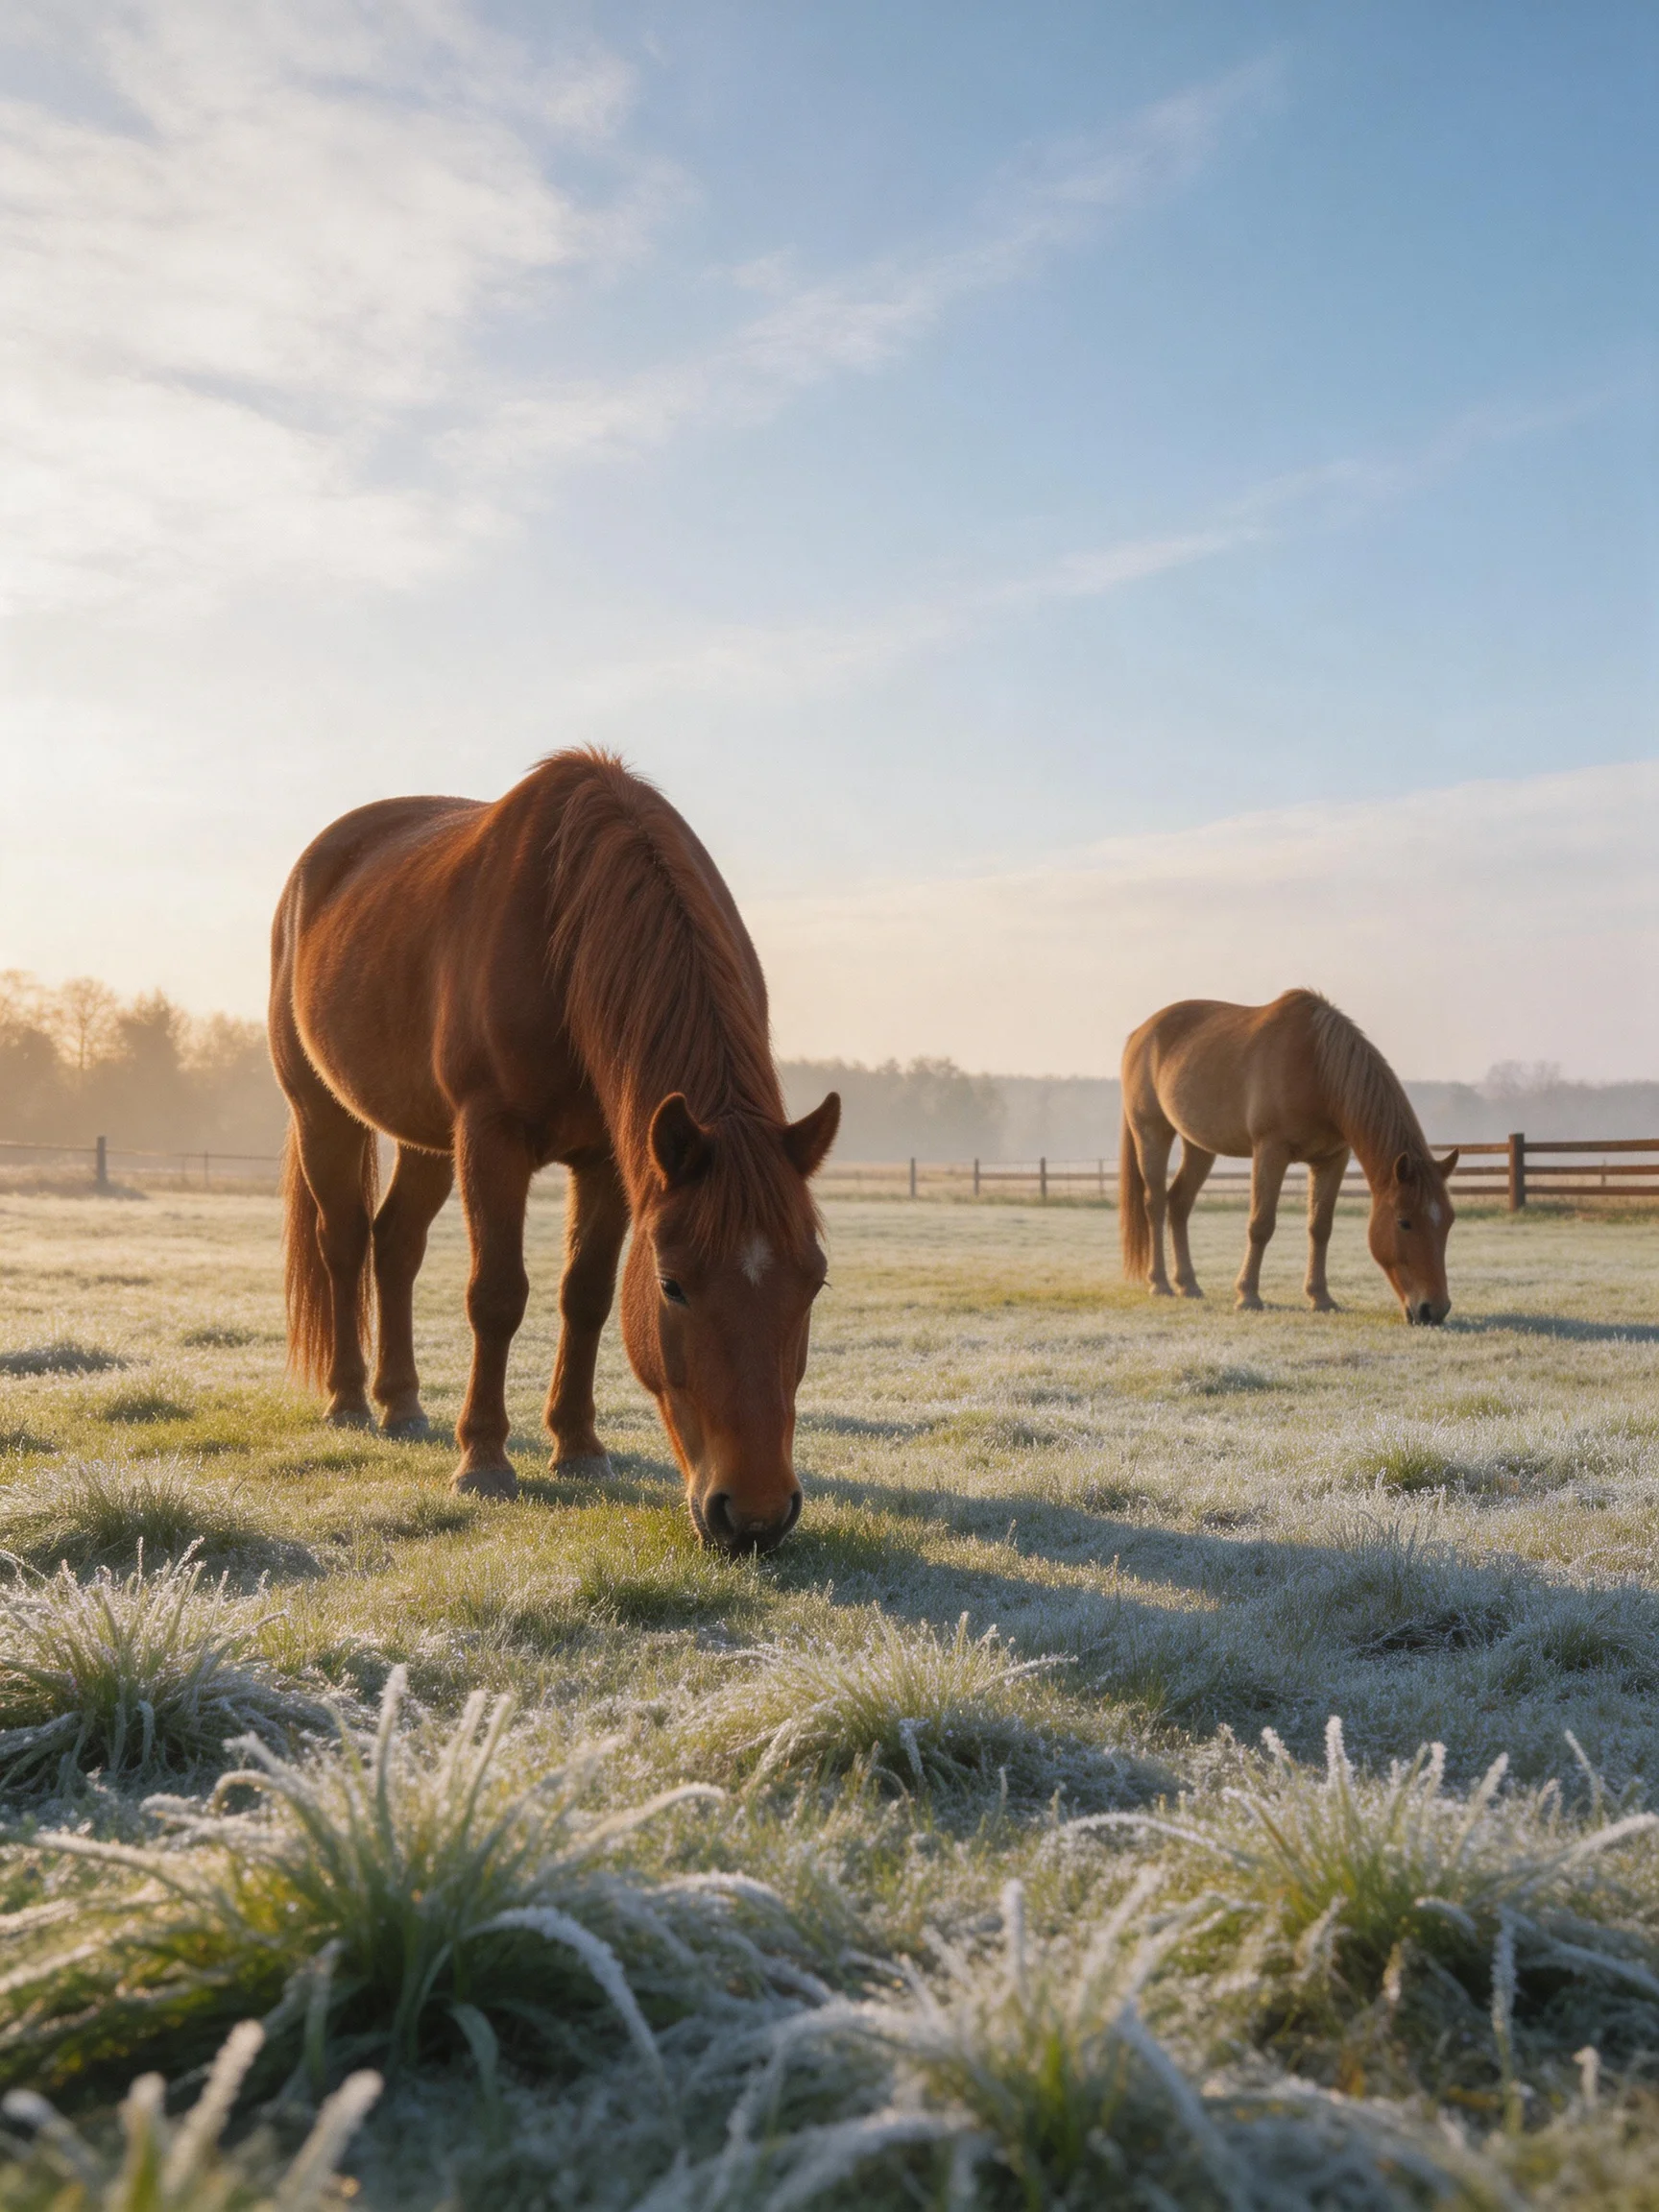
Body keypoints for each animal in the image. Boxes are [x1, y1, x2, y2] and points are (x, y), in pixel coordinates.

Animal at [268, 749, 840, 1553]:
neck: (565, 936)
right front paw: (483, 1458)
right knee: (345, 1242)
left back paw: (402, 1403)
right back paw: (349, 1400)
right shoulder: (492, 1137)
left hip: (427, 1140)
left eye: (814, 1282)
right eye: (672, 1286)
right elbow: (497, 1294)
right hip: (324, 1113)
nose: (755, 1516)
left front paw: (577, 1447)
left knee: (397, 1244)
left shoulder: (610, 1159)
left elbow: (587, 1295)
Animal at [1119, 990, 1457, 1324]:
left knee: (1179, 1203)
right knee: (1155, 1203)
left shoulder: (1332, 1160)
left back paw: (1188, 1284)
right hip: (1152, 1132)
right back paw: (1160, 1283)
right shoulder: (1270, 1151)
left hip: (1199, 1146)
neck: (1319, 1068)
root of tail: (1139, 1034)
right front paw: (1248, 1295)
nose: (1434, 1310)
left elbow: (1320, 1227)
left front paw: (1320, 1298)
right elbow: (1261, 1224)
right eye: (1404, 1222)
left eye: (1449, 1220)